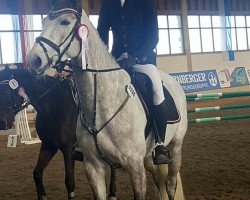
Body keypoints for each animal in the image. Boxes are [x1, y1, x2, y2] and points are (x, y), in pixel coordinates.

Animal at [25, 3, 188, 200]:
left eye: (64, 22)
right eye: (43, 22)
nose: (33, 60)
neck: (102, 105)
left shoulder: (135, 165)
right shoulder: (93, 167)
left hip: (175, 146)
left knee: (170, 183)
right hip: (148, 157)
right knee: (158, 180)